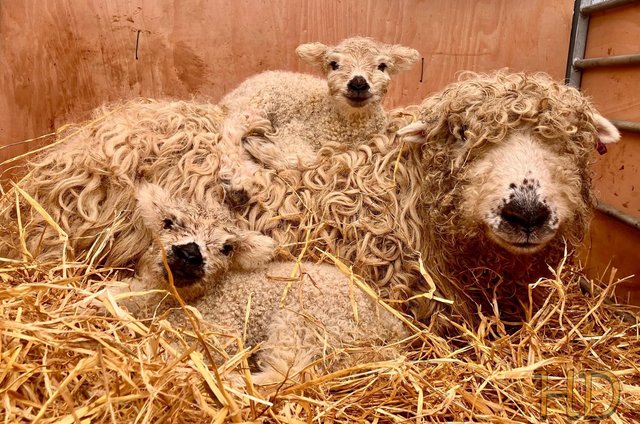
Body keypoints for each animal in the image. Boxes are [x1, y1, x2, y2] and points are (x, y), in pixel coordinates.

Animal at [108, 183, 409, 387]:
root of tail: (393, 330)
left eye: (227, 248)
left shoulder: (219, 334)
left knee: (289, 375)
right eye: (168, 222)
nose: (189, 254)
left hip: (304, 325)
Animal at [219, 36, 420, 172]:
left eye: (382, 66)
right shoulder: (293, 129)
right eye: (334, 64)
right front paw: (264, 149)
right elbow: (307, 161)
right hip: (254, 104)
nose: (358, 83)